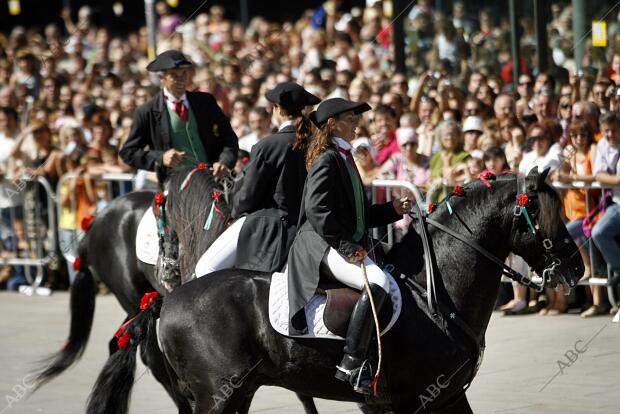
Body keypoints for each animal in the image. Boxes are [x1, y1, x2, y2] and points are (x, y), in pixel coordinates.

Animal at [85, 168, 584, 414]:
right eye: (544, 215)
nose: (577, 268)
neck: (435, 293)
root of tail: (166, 300)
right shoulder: (417, 401)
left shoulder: (438, 399)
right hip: (218, 398)